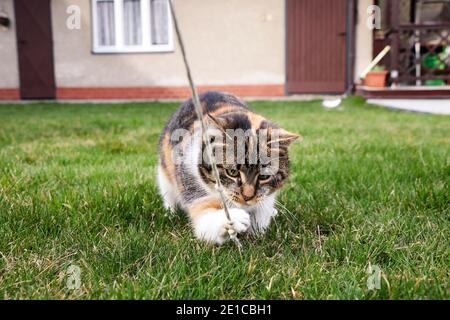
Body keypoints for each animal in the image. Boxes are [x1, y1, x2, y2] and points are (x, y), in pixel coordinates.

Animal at [158, 91, 298, 244]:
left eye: (264, 176)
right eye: (232, 172)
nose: (247, 196)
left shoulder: (266, 197)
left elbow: (262, 212)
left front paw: (256, 229)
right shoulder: (193, 185)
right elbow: (204, 222)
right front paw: (235, 219)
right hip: (164, 175)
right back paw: (170, 213)